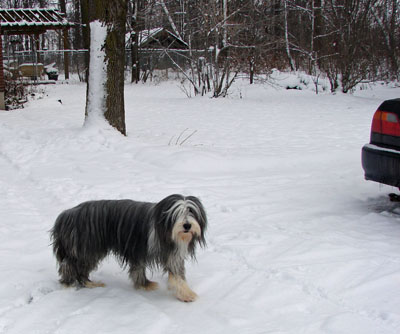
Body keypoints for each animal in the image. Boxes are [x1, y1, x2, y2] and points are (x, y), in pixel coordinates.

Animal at [51, 194, 208, 302]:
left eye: (191, 211)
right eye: (177, 213)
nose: (187, 225)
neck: (162, 228)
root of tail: (67, 215)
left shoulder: (171, 254)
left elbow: (177, 274)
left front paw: (185, 293)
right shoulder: (138, 249)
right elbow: (139, 269)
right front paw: (145, 285)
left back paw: (88, 283)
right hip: (87, 247)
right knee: (72, 265)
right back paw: (73, 283)